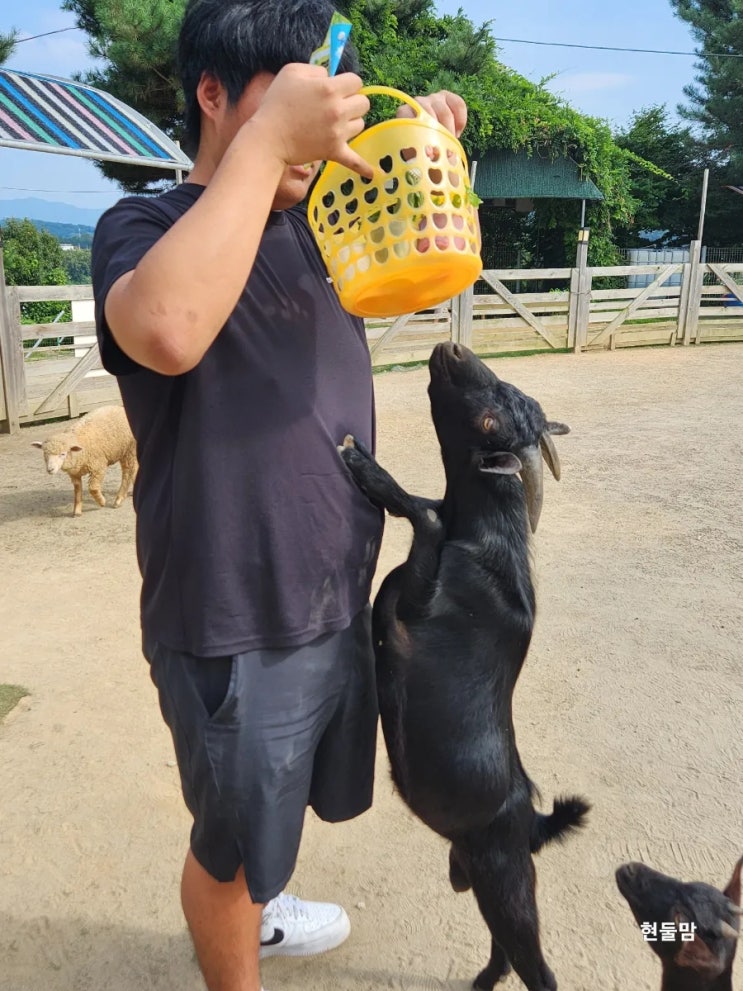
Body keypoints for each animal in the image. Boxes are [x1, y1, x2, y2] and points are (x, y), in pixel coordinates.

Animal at [340, 342, 588, 991]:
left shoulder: (411, 616)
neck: (482, 540)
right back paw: (481, 979)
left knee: (534, 962)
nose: (451, 348)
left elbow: (422, 515)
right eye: (504, 396)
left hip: (505, 882)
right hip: (476, 873)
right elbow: (429, 510)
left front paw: (368, 471)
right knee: (501, 945)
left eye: (487, 422)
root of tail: (532, 823)